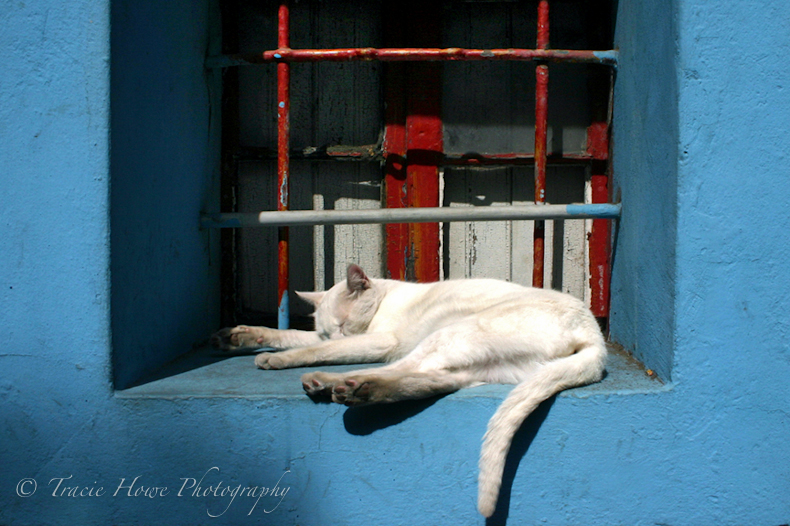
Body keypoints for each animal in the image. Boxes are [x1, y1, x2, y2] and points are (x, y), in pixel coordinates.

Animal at [210, 266, 608, 516]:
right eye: (327, 328)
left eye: (343, 324)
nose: (335, 334)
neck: (385, 297)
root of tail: (595, 337)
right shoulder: (331, 338)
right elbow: (292, 335)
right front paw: (241, 337)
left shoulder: (376, 341)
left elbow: (316, 349)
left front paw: (278, 359)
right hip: (476, 361)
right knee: (433, 380)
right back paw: (355, 390)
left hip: (451, 333)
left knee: (403, 369)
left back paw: (335, 383)